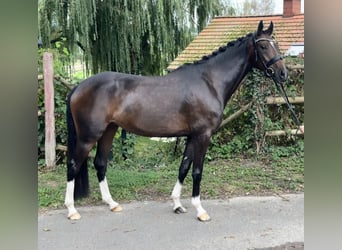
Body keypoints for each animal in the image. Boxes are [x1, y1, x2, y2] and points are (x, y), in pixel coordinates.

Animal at [64, 21, 286, 221]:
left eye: (276, 44)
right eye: (263, 46)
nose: (283, 74)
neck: (209, 82)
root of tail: (78, 87)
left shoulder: (191, 136)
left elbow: (184, 167)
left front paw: (177, 204)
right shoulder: (203, 135)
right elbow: (197, 171)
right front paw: (200, 210)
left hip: (109, 131)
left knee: (100, 163)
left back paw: (112, 204)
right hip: (88, 136)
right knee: (74, 164)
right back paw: (72, 210)